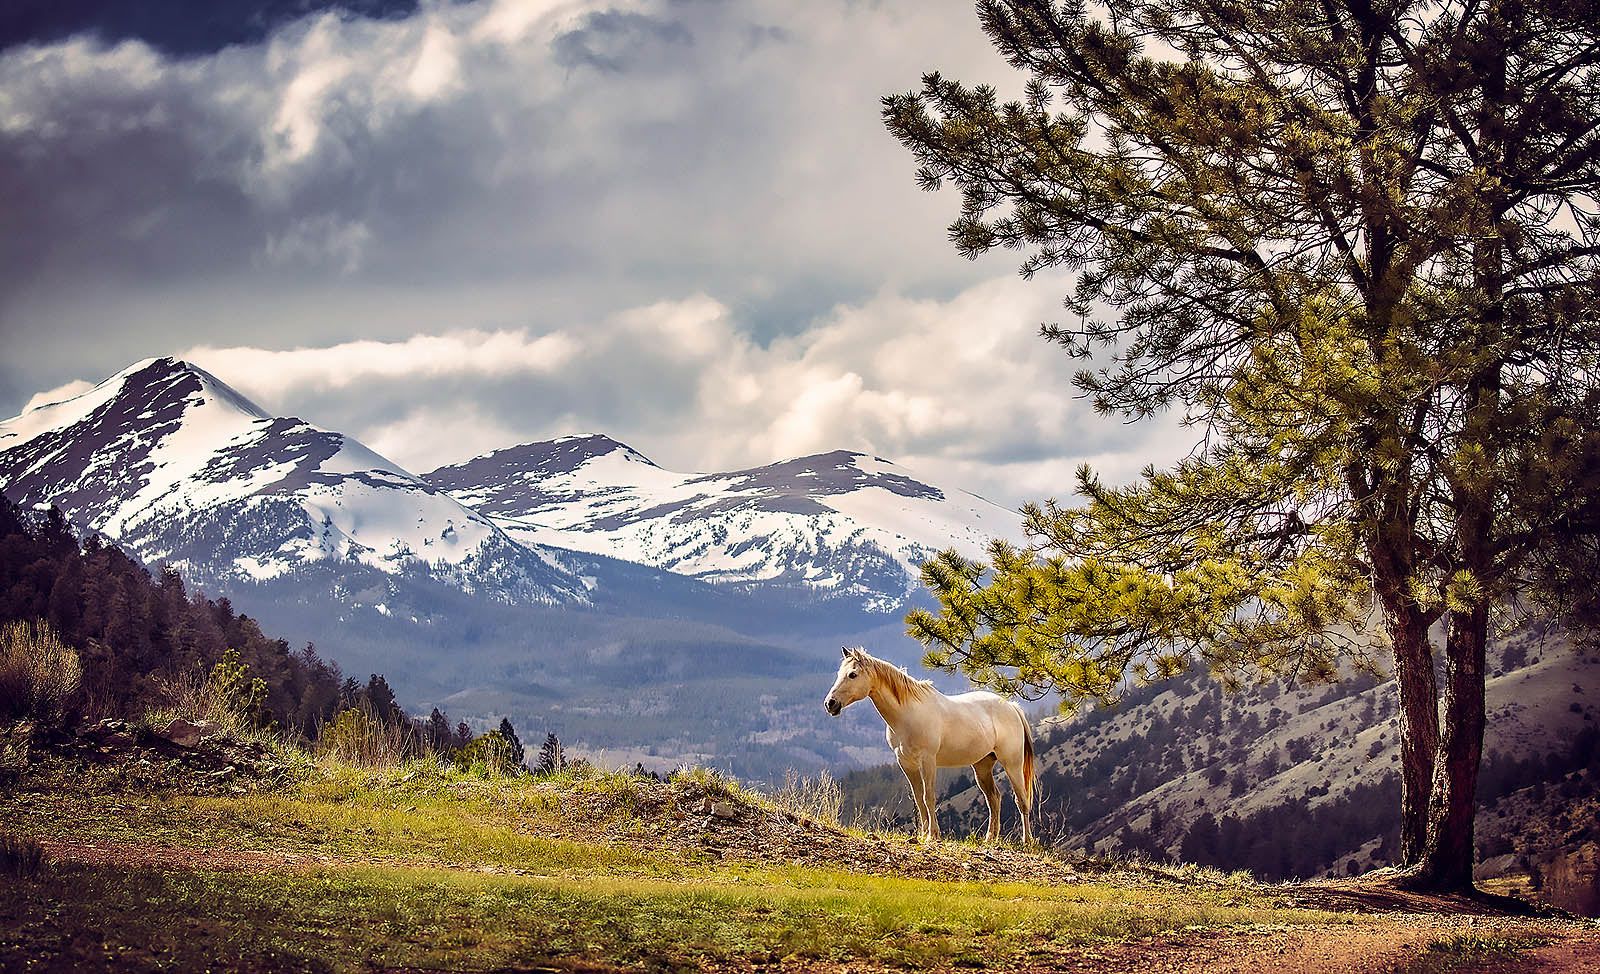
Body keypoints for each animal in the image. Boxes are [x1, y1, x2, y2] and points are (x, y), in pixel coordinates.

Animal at [824, 647, 1035, 844]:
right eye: (839, 673)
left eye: (852, 674)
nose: (830, 704)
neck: (908, 715)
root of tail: (1012, 707)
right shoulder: (906, 763)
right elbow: (919, 799)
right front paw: (923, 833)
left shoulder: (928, 761)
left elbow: (929, 796)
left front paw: (932, 835)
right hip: (982, 766)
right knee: (994, 798)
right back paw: (990, 838)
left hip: (1012, 764)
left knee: (1021, 800)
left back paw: (1027, 841)